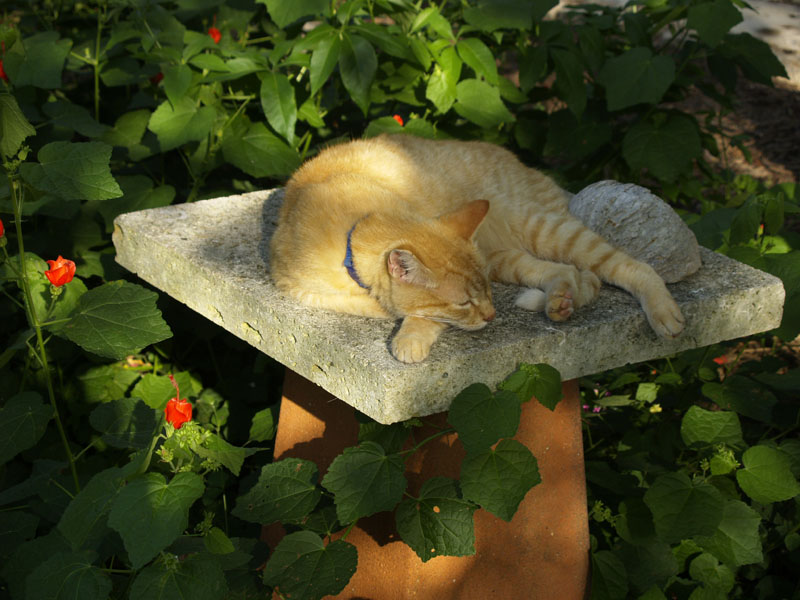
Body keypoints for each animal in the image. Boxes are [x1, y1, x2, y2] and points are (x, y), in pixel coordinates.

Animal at [272, 134, 684, 364]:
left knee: (631, 267)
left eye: (485, 294)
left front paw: (411, 338)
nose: (491, 316)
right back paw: (559, 303)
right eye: (465, 301)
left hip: (550, 231)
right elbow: (386, 307)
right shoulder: (301, 290)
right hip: (510, 258)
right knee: (569, 274)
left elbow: (420, 315)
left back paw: (665, 314)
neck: (356, 223)